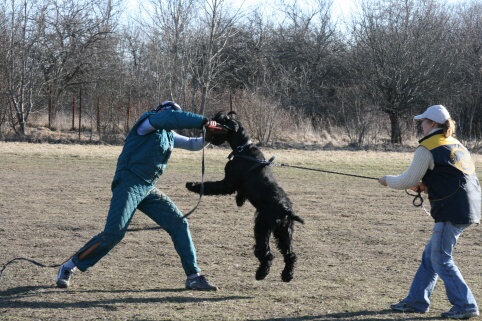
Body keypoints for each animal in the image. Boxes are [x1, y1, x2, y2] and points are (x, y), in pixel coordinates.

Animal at [186, 111, 304, 282]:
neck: (242, 148)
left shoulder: (228, 182)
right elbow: (239, 193)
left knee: (267, 254)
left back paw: (261, 273)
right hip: (284, 231)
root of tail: (286, 209)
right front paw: (239, 200)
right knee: (290, 254)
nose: (207, 130)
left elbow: (211, 186)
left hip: (262, 227)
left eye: (220, 119)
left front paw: (193, 185)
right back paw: (287, 275)